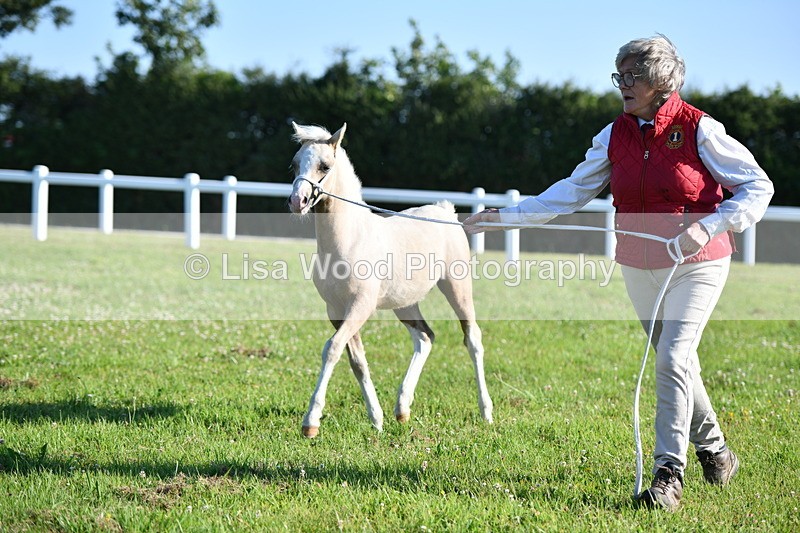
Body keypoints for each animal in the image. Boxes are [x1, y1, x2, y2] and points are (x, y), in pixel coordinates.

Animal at [288, 122, 493, 438]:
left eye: (325, 166)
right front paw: (376, 419)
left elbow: (332, 349)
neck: (349, 239)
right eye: (294, 164)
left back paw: (486, 411)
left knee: (473, 340)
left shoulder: (360, 307)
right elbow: (357, 361)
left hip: (457, 288)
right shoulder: (336, 311)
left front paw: (311, 422)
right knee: (425, 338)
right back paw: (402, 408)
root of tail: (445, 210)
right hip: (405, 303)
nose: (297, 201)